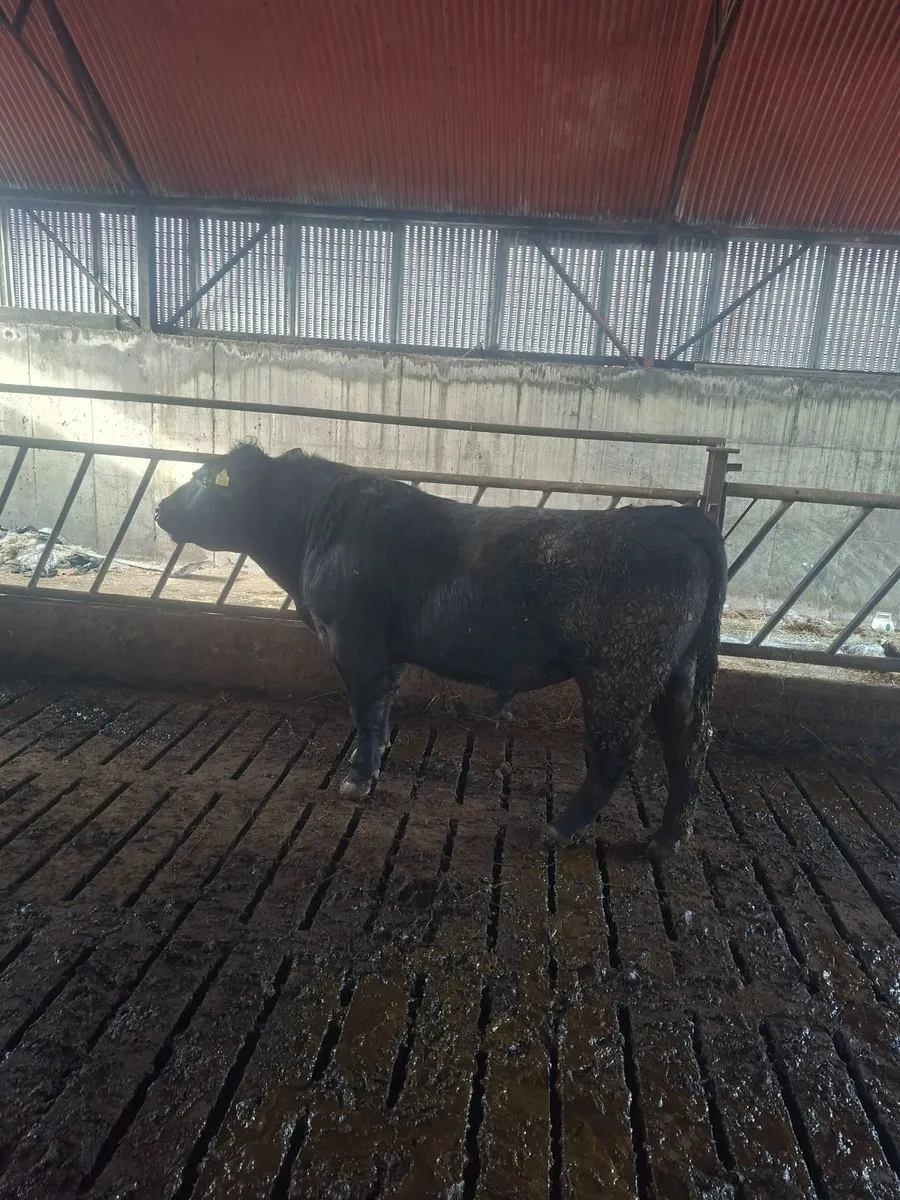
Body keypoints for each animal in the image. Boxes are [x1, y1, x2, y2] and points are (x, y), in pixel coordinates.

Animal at [155, 442, 728, 858]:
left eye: (206, 480)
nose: (161, 508)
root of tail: (670, 518)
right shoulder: (385, 650)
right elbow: (384, 707)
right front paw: (378, 759)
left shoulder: (353, 638)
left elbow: (365, 710)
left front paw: (358, 780)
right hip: (675, 672)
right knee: (689, 743)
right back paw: (668, 838)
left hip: (619, 671)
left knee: (616, 751)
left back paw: (562, 828)